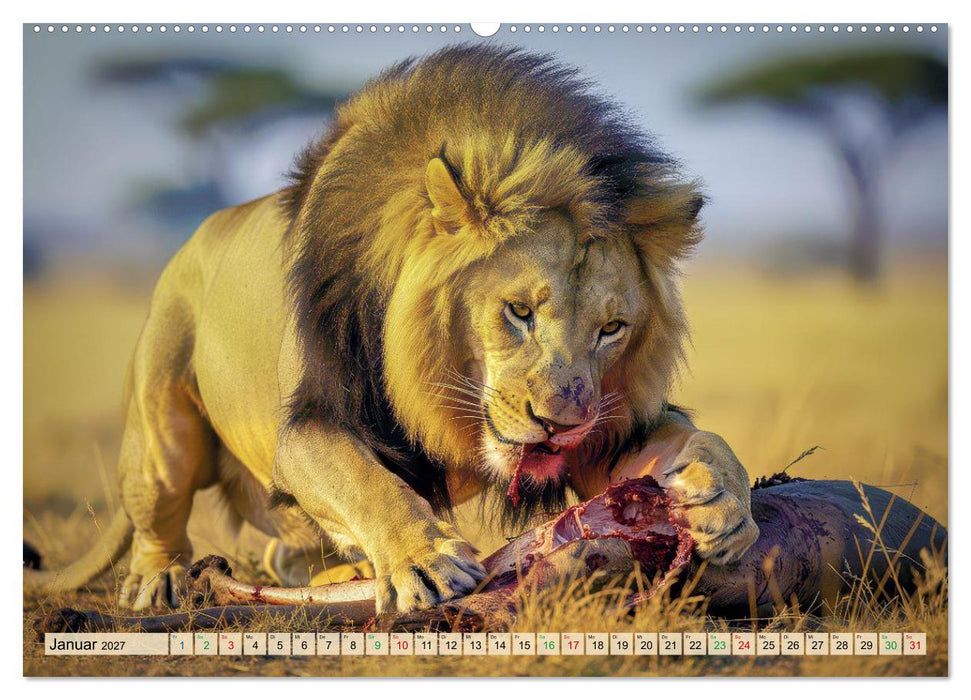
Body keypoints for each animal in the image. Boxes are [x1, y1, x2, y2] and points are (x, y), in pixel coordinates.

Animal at [25, 46, 758, 613]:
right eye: (518, 311)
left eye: (611, 329)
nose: (559, 424)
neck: (439, 395)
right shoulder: (309, 425)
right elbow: (366, 483)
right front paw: (425, 561)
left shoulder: (600, 434)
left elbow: (687, 437)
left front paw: (722, 498)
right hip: (162, 424)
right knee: (160, 511)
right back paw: (161, 581)